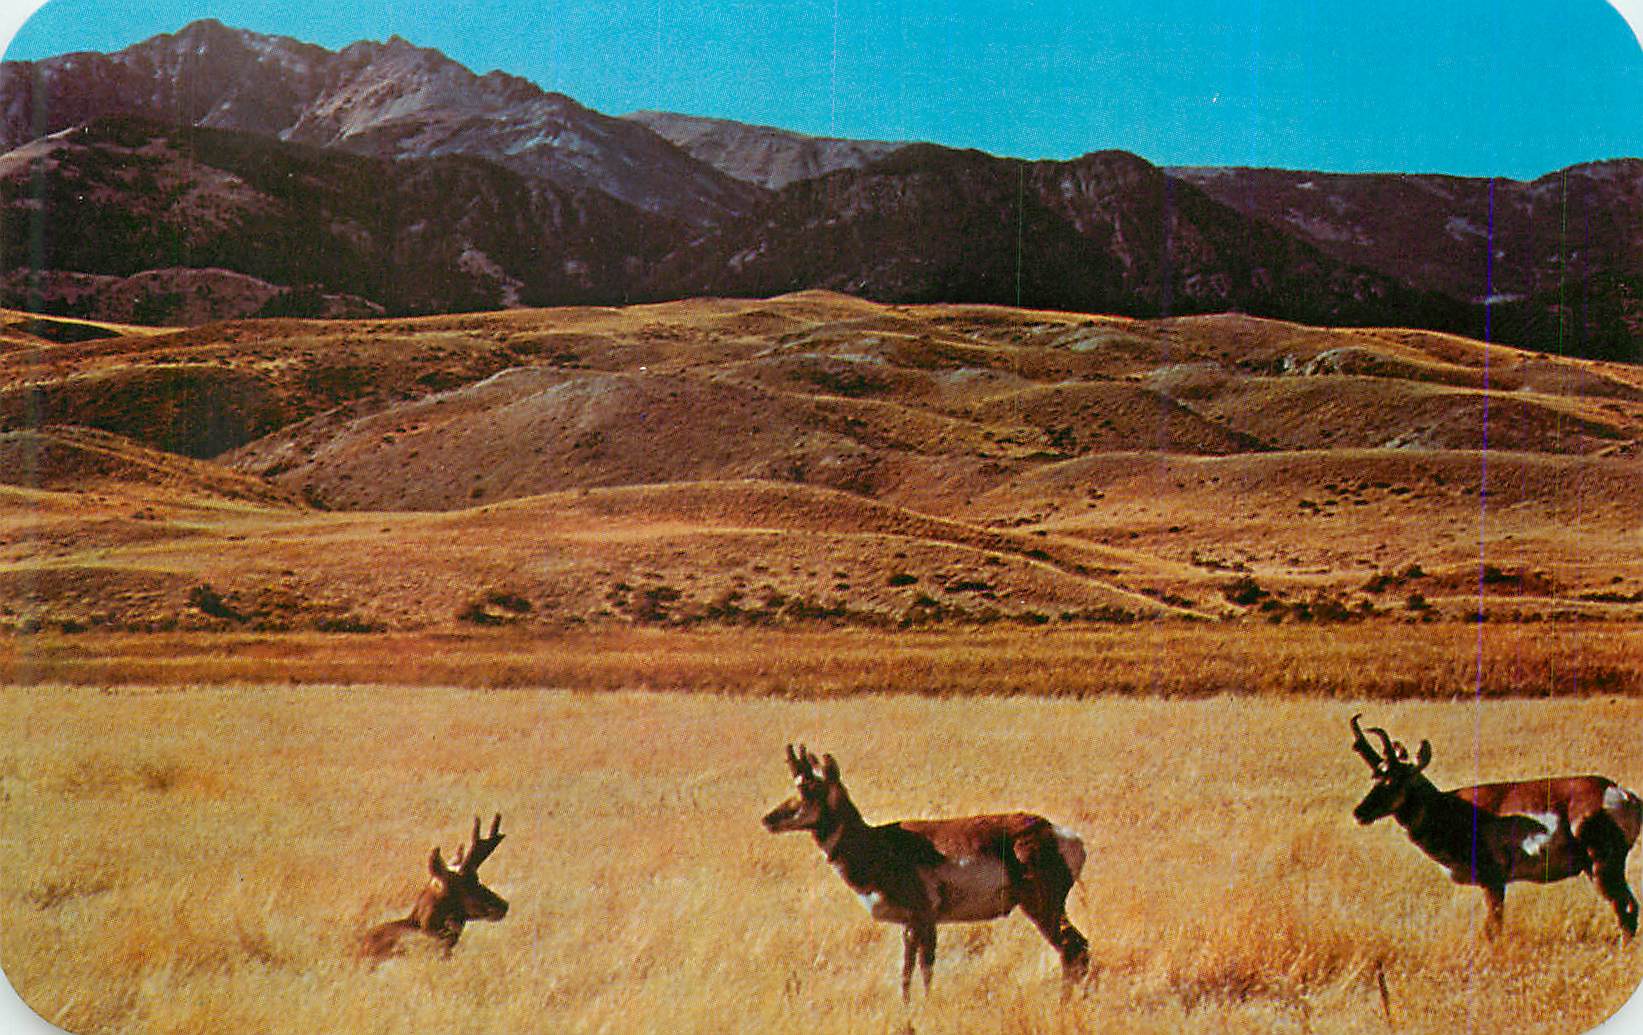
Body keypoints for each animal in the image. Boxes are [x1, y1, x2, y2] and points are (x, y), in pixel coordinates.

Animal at [761, 745, 1090, 999]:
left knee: (1074, 948)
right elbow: (907, 969)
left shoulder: (925, 918)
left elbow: (925, 968)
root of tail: (1060, 833)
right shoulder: (912, 925)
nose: (768, 819)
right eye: (796, 784)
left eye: (809, 788)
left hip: (1042, 907)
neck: (879, 845)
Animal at [1349, 715, 1640, 937]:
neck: (1451, 808)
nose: (1359, 813)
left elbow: (1493, 928)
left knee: (1626, 908)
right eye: (1375, 777)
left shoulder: (1494, 882)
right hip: (1595, 870)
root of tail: (1620, 791)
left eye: (1395, 780)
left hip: (1603, 868)